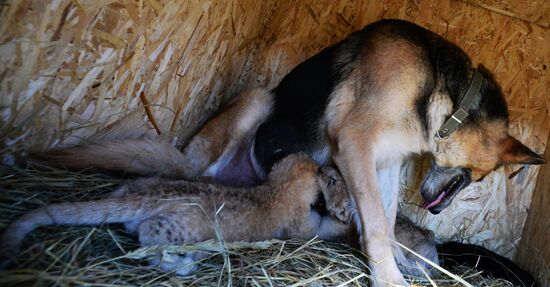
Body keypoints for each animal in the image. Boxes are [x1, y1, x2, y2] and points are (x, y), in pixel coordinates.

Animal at [36, 19, 544, 286]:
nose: (436, 211)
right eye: (481, 178)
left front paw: (401, 260)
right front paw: (388, 277)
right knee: (199, 173)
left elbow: (385, 221)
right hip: (258, 100)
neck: (447, 96)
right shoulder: (355, 141)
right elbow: (378, 227)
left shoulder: (385, 162)